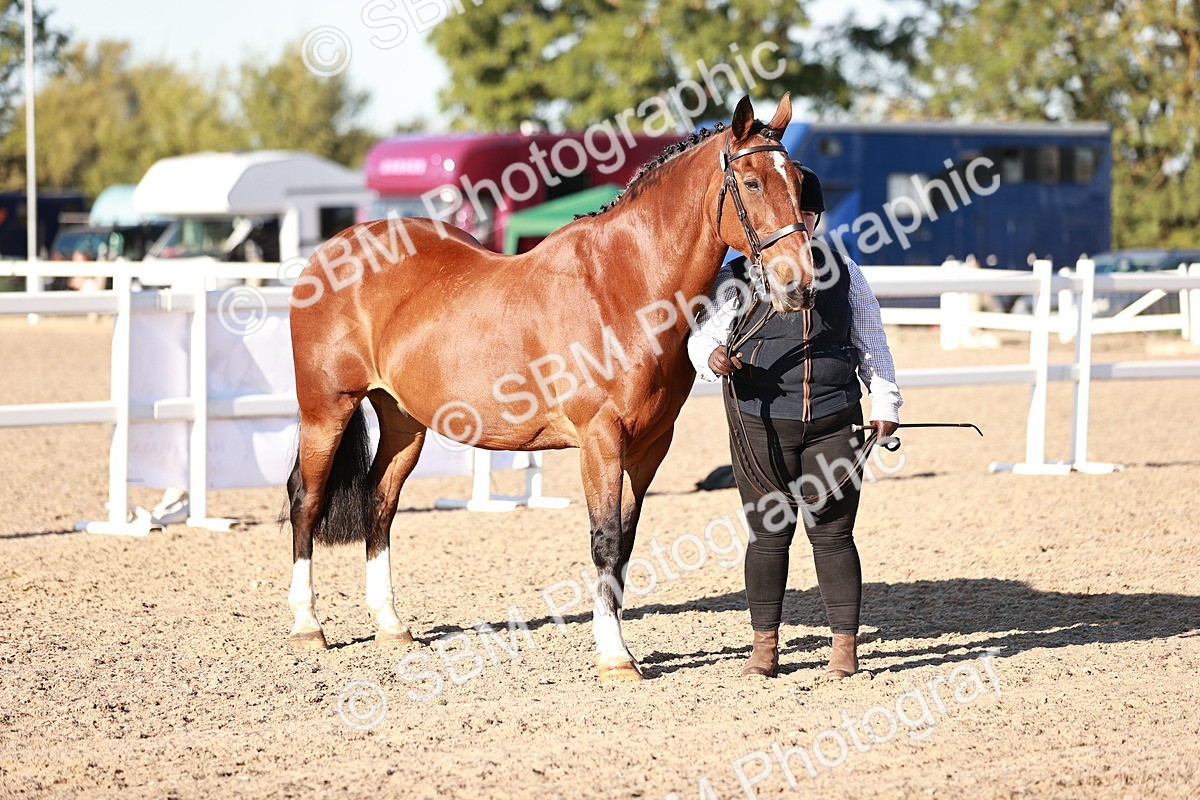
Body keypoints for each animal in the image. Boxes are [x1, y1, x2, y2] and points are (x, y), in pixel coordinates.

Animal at [285, 94, 815, 680]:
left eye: (798, 180)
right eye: (752, 182)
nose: (799, 285)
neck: (625, 285)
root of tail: (331, 251)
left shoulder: (650, 446)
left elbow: (625, 542)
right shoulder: (601, 440)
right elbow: (604, 539)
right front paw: (615, 655)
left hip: (404, 421)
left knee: (380, 501)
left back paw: (391, 625)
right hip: (325, 410)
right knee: (306, 499)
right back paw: (308, 626)